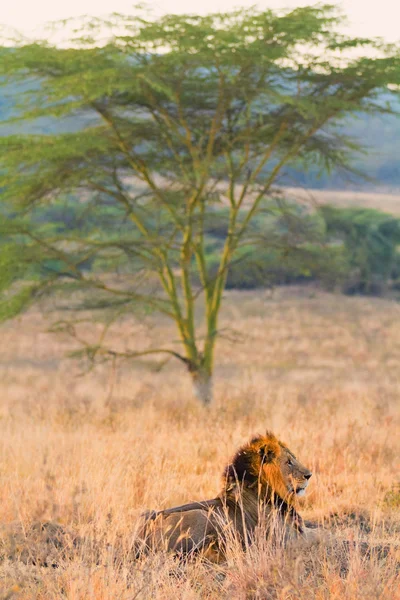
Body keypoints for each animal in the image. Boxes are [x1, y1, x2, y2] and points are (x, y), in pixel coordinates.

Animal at [135, 432, 316, 564]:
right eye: (289, 462)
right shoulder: (285, 538)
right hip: (201, 516)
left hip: (147, 512)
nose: (309, 475)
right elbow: (318, 537)